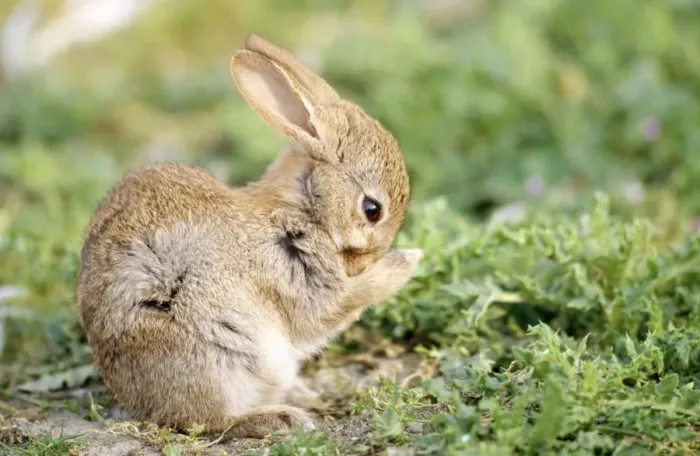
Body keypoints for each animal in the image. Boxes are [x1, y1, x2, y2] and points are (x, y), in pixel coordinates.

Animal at [76, 33, 422, 439]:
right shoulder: (296, 276)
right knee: (208, 421)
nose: (359, 264)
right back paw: (282, 417)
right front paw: (408, 260)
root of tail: (138, 403)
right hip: (214, 359)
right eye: (372, 209)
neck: (300, 207)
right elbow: (340, 304)